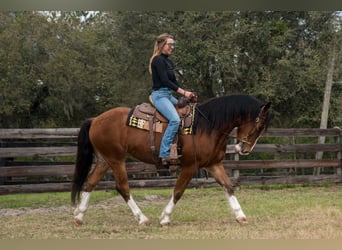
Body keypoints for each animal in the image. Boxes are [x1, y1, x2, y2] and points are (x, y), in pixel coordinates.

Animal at [71, 94, 272, 227]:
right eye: (259, 125)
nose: (244, 149)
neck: (207, 126)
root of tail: (95, 119)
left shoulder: (213, 164)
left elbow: (228, 186)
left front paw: (241, 216)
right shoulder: (190, 166)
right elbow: (178, 190)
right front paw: (165, 218)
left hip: (104, 160)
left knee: (90, 183)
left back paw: (79, 217)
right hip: (116, 160)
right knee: (122, 187)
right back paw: (142, 219)